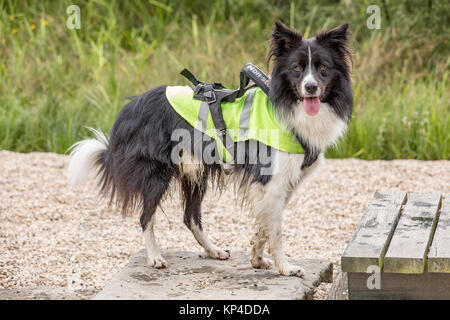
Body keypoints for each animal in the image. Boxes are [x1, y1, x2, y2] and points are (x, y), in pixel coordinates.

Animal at [68, 22, 354, 276]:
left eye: (323, 68)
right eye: (296, 68)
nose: (311, 87)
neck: (288, 105)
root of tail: (130, 108)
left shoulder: (283, 183)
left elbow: (265, 224)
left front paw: (257, 256)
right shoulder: (270, 179)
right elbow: (276, 230)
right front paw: (285, 267)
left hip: (195, 172)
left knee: (190, 217)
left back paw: (213, 250)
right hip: (158, 174)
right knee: (146, 216)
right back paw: (155, 257)